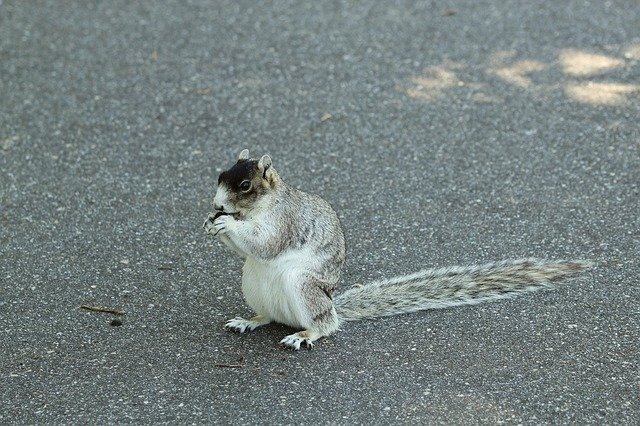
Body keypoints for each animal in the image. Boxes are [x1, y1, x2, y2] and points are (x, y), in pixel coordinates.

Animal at [202, 150, 592, 350]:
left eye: (245, 185)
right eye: (220, 175)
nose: (217, 204)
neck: (259, 208)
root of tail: (332, 305)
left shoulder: (285, 221)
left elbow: (264, 243)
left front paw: (226, 225)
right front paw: (210, 222)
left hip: (304, 288)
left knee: (325, 325)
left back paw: (305, 334)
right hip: (253, 285)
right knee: (269, 315)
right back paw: (250, 320)